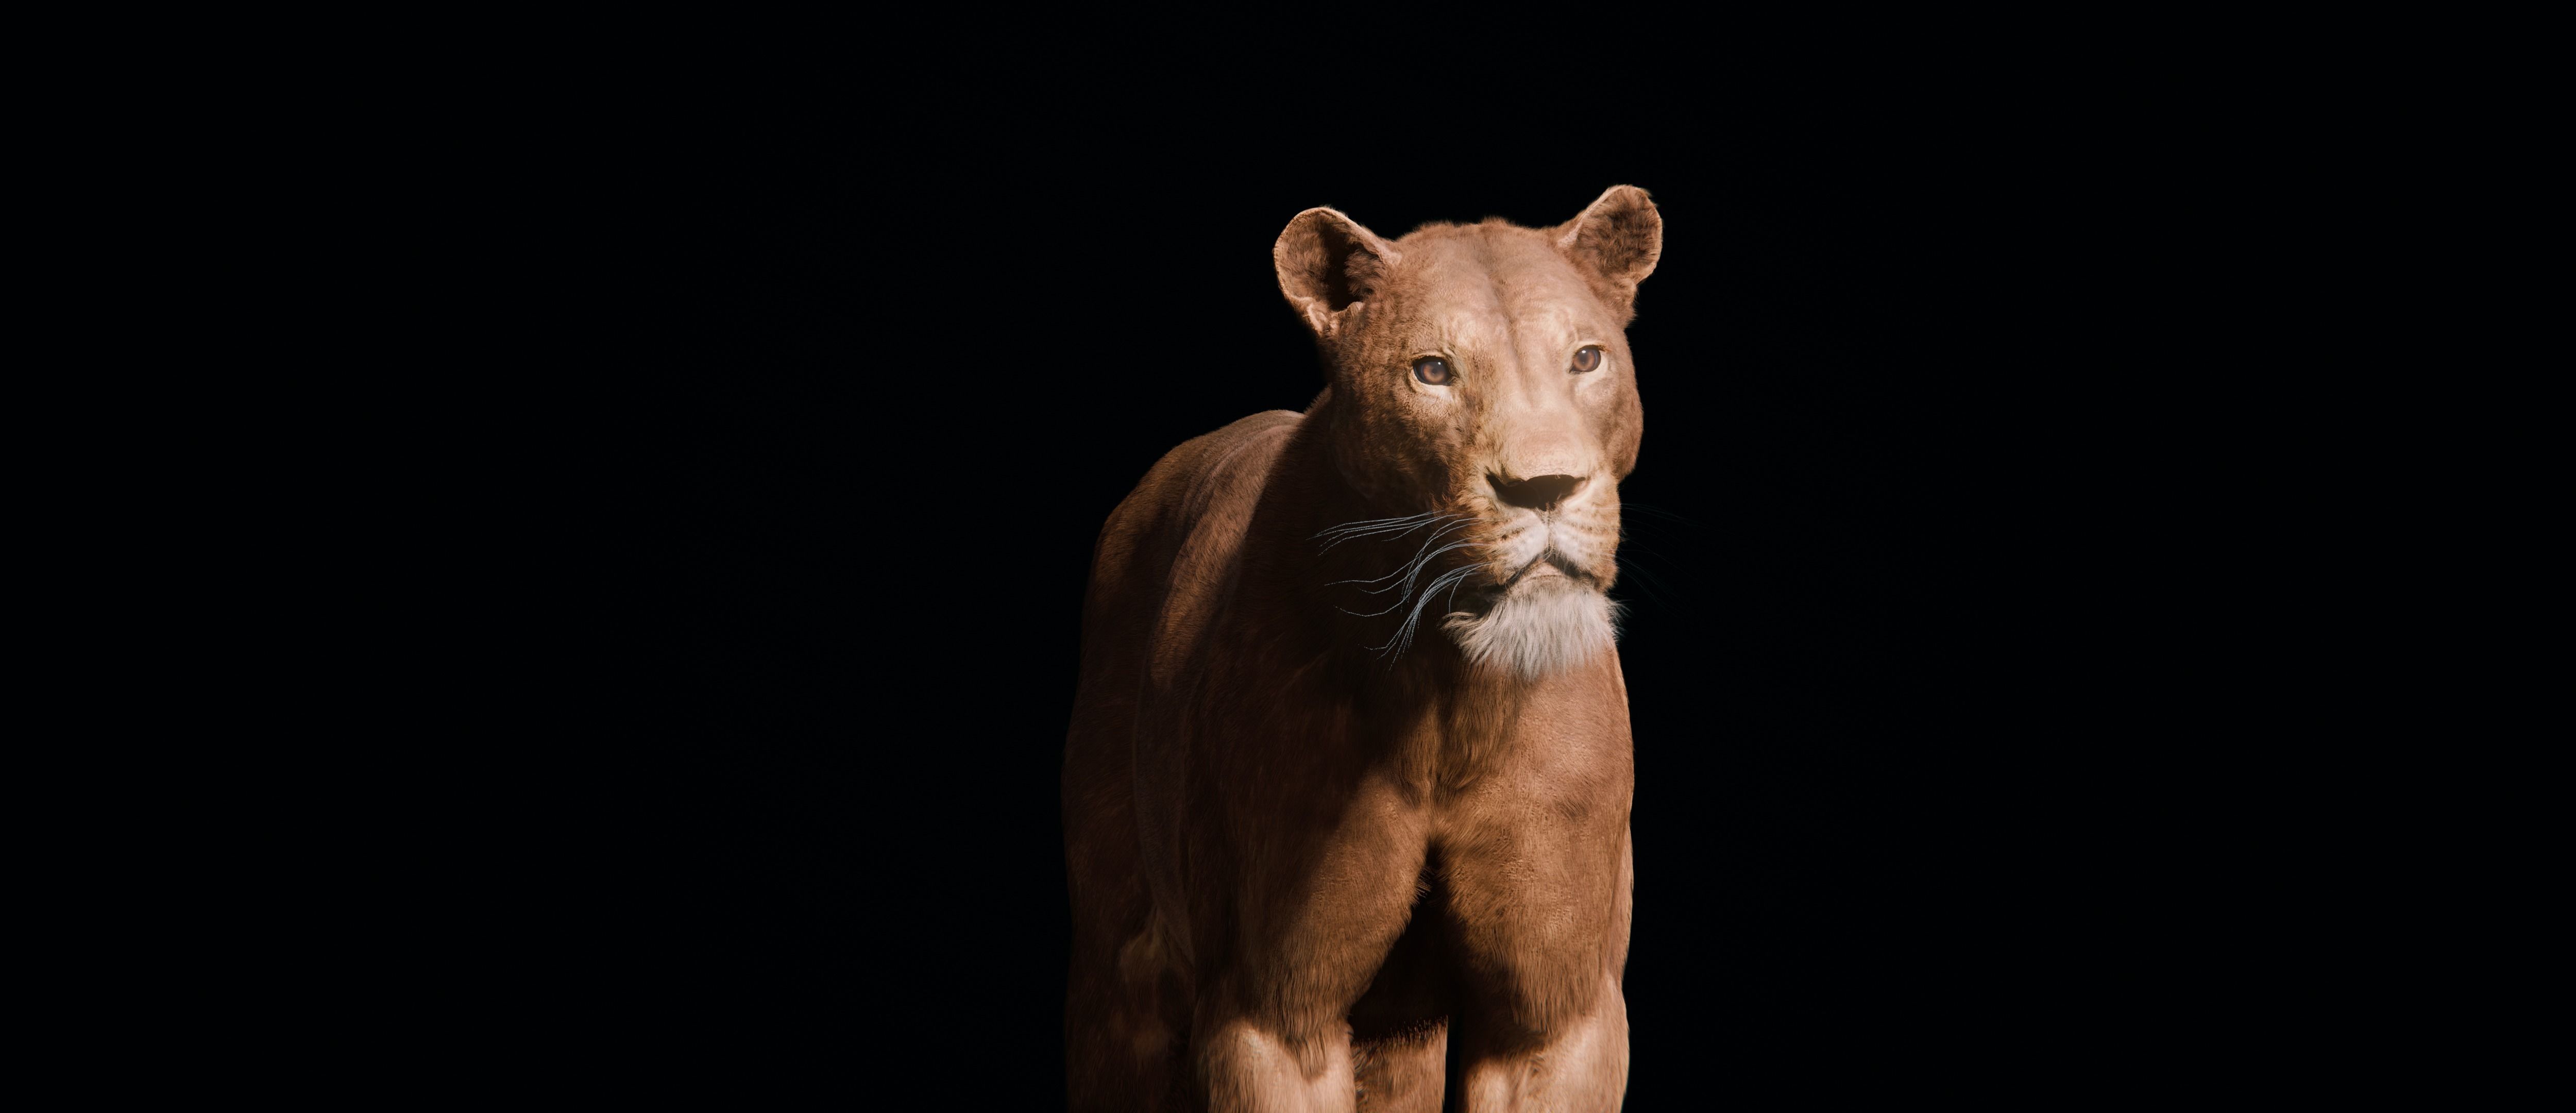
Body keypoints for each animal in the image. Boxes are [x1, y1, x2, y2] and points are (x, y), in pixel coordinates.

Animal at [1063, 186, 1659, 1112]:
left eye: (1587, 359)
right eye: (1433, 371)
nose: (1545, 487)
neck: (1450, 700)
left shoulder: (1556, 1022)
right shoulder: (1272, 1016)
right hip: (1118, 975)